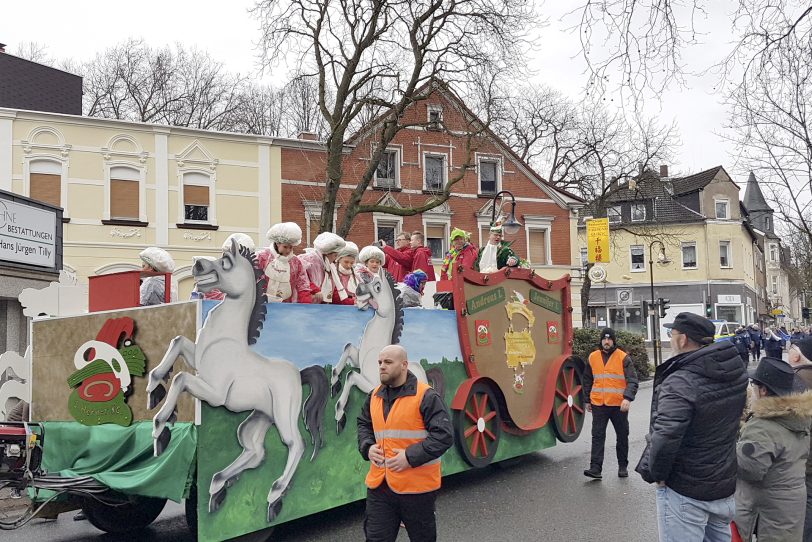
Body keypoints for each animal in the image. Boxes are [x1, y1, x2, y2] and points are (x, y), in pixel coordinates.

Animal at [146, 241, 326, 524]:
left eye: (226, 262)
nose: (197, 263)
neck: (225, 339)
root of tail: (298, 374)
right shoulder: (197, 359)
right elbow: (177, 342)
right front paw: (154, 390)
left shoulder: (214, 393)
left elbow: (181, 378)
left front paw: (161, 429)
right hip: (260, 417)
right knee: (255, 450)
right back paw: (219, 487)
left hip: (283, 415)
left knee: (296, 444)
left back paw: (274, 497)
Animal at [330, 272, 444, 434]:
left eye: (377, 287)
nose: (358, 289)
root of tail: (425, 374)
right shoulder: (358, 361)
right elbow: (348, 347)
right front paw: (334, 383)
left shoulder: (370, 384)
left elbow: (351, 375)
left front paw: (340, 417)